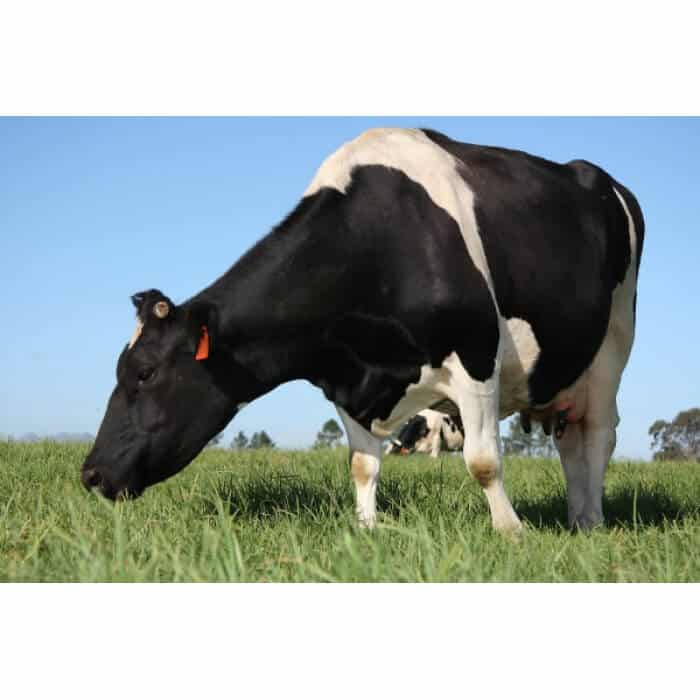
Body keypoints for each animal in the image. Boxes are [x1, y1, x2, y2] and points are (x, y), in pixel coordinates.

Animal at [82, 127, 644, 532]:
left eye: (145, 373)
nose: (90, 473)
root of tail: (601, 180)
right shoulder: (346, 381)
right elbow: (363, 464)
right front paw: (366, 530)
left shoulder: (476, 352)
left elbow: (483, 461)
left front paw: (510, 532)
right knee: (571, 442)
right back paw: (576, 518)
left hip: (612, 347)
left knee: (599, 436)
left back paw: (592, 522)